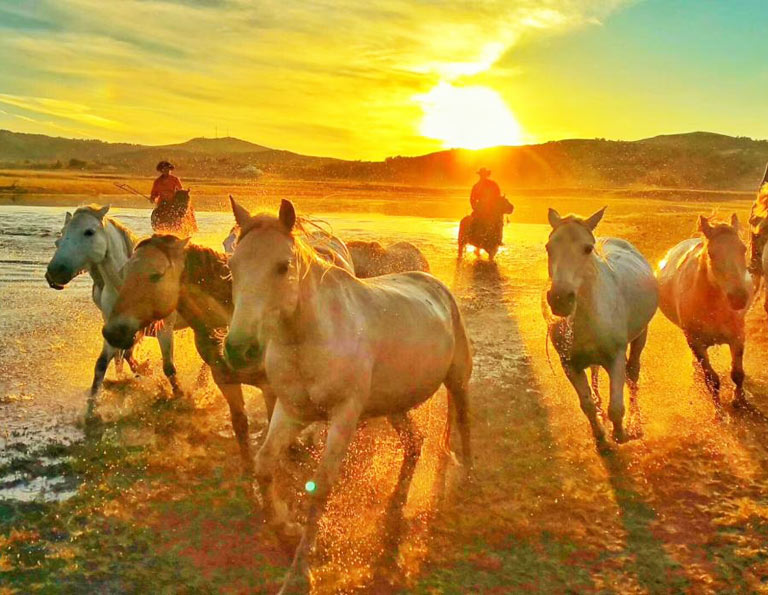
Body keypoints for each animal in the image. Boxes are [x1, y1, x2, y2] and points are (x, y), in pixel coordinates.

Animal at [45, 205, 183, 406]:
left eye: (89, 232)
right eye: (62, 233)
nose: (54, 272)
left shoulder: (164, 329)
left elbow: (169, 367)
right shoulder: (115, 330)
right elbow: (104, 363)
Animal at [99, 230, 354, 478]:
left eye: (156, 275)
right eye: (124, 274)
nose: (113, 332)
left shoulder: (270, 386)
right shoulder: (224, 378)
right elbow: (240, 424)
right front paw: (248, 467)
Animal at [225, 199, 472, 592]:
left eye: (283, 266)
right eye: (232, 266)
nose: (238, 350)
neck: (311, 337)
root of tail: (435, 284)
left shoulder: (343, 417)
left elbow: (321, 487)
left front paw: (299, 572)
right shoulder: (290, 411)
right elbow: (263, 466)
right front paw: (285, 530)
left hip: (458, 381)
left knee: (463, 423)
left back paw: (466, 479)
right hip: (394, 404)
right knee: (414, 441)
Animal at [544, 208, 656, 448]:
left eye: (587, 248)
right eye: (549, 247)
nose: (559, 299)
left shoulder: (615, 358)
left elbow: (616, 407)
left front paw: (621, 434)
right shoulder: (570, 364)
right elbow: (586, 404)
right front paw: (600, 437)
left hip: (641, 335)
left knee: (633, 373)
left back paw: (635, 421)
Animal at [656, 215, 752, 410]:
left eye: (743, 249)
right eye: (711, 253)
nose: (738, 298)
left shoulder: (737, 337)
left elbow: (737, 374)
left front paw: (739, 400)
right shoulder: (696, 343)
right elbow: (712, 380)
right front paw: (719, 411)